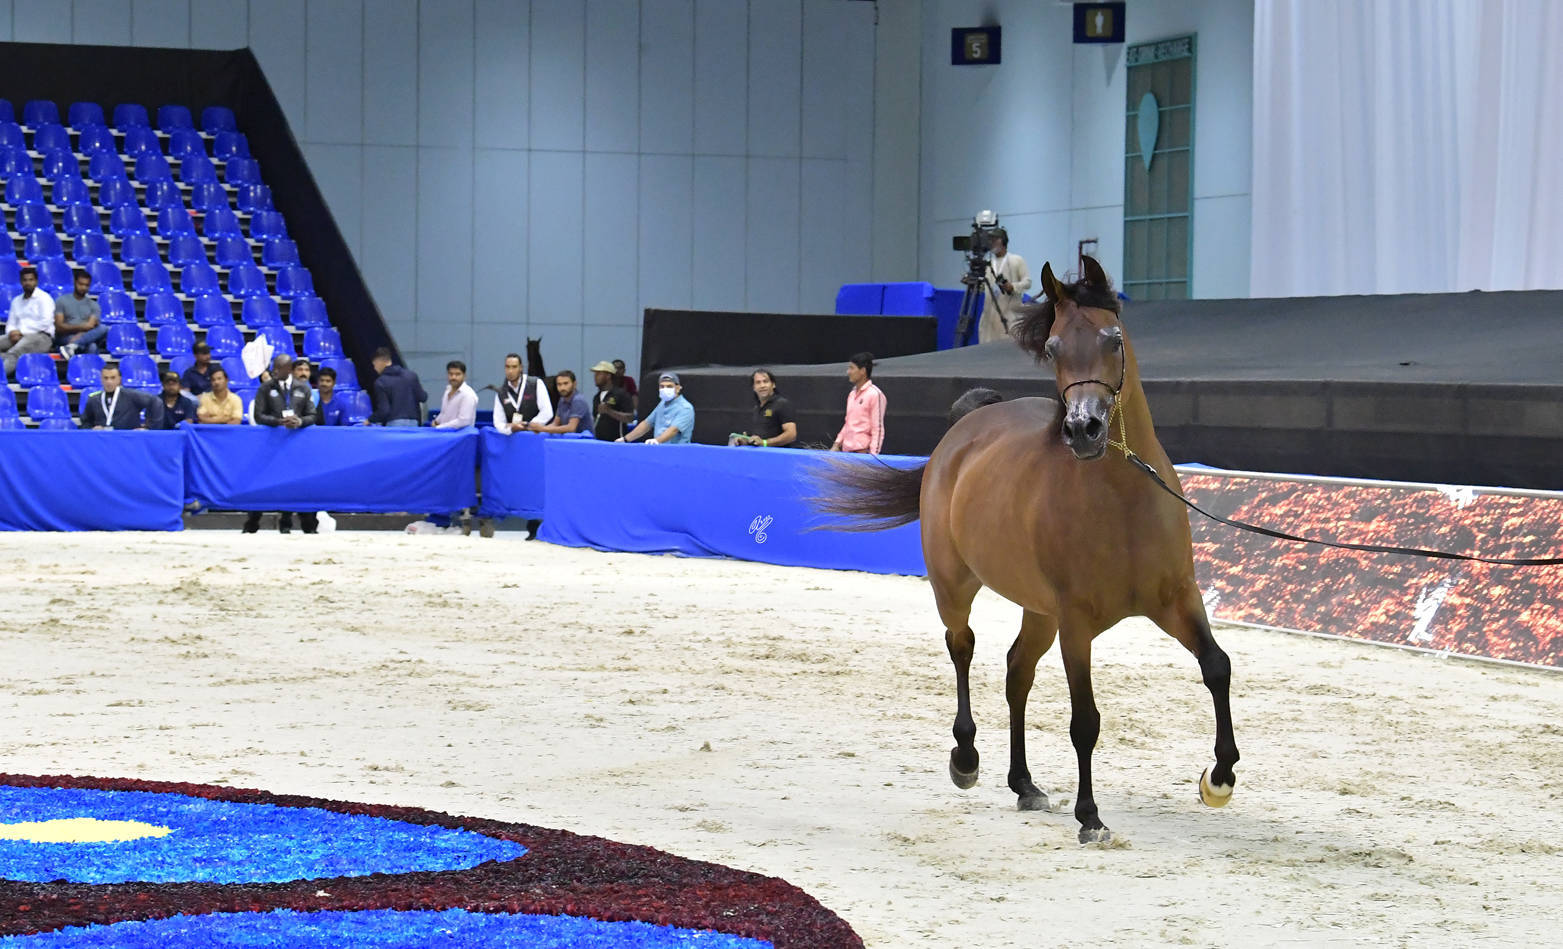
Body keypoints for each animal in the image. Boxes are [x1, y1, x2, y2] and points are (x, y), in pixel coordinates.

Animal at [813, 256, 1239, 843]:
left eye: (1113, 339)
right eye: (1054, 348)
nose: (1084, 429)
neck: (1123, 501)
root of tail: (965, 428)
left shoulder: (1176, 599)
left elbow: (1217, 667)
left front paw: (1218, 779)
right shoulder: (1077, 623)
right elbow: (1085, 720)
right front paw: (1090, 817)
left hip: (1039, 611)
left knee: (1017, 672)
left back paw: (1024, 784)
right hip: (956, 588)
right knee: (963, 647)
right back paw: (966, 759)